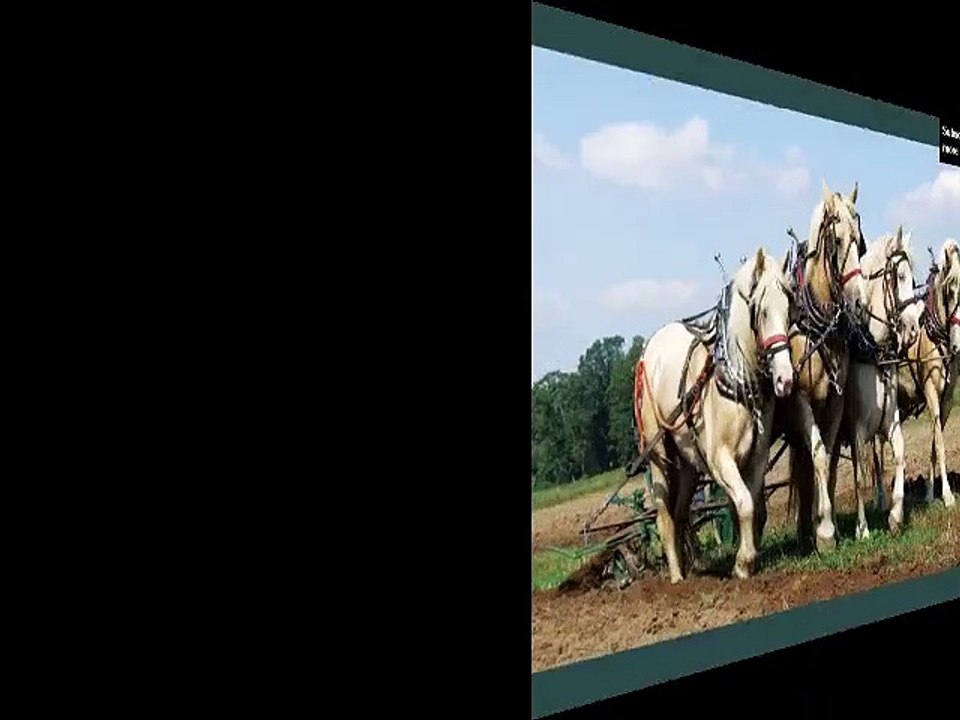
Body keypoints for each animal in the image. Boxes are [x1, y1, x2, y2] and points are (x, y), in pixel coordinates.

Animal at [634, 247, 795, 582]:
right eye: (761, 311)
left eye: (790, 308)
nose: (785, 379)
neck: (737, 382)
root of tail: (650, 346)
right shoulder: (719, 458)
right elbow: (744, 503)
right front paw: (743, 563)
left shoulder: (757, 455)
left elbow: (751, 505)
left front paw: (748, 557)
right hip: (658, 454)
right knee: (664, 515)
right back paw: (676, 576)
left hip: (687, 463)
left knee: (681, 513)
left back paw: (690, 567)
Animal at [775, 180, 871, 553]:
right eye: (837, 240)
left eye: (860, 241)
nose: (859, 304)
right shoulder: (801, 401)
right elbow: (817, 455)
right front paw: (825, 531)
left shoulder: (835, 401)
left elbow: (827, 458)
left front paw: (826, 524)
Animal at [829, 226, 922, 540]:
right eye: (899, 276)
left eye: (913, 278)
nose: (913, 329)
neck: (873, 352)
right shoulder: (857, 431)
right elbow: (859, 476)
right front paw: (862, 529)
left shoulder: (890, 422)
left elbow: (900, 456)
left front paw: (895, 515)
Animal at [886, 238, 960, 509]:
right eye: (951, 290)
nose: (958, 345)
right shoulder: (930, 392)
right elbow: (939, 443)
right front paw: (947, 496)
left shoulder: (946, 399)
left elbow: (935, 443)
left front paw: (930, 493)